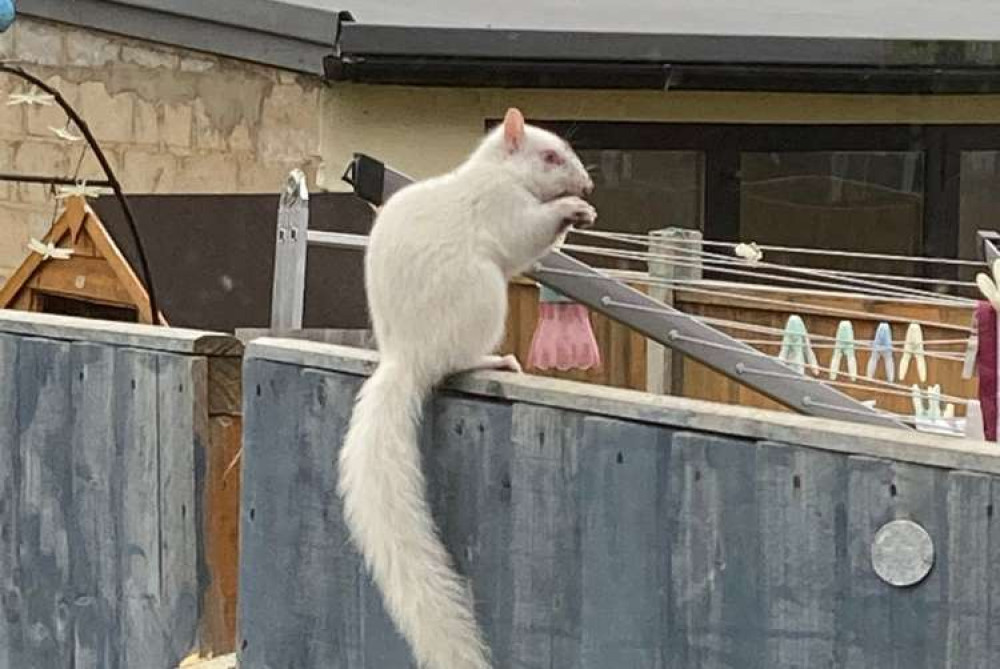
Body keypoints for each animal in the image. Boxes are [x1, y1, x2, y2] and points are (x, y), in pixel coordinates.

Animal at [340, 107, 596, 664]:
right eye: (550, 156)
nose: (588, 185)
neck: (501, 173)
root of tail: (408, 356)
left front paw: (580, 213)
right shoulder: (503, 208)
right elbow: (527, 233)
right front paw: (571, 208)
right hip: (482, 296)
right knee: (458, 359)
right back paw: (494, 358)